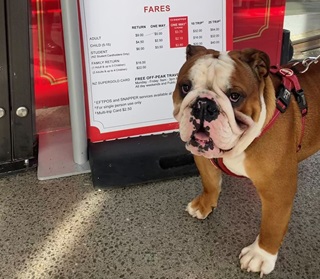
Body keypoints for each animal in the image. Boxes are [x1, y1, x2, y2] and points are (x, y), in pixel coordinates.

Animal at [174, 44, 320, 276]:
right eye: (185, 87)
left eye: (235, 96)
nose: (203, 105)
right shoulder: (203, 159)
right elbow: (210, 183)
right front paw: (205, 205)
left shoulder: (277, 192)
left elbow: (271, 226)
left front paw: (260, 255)